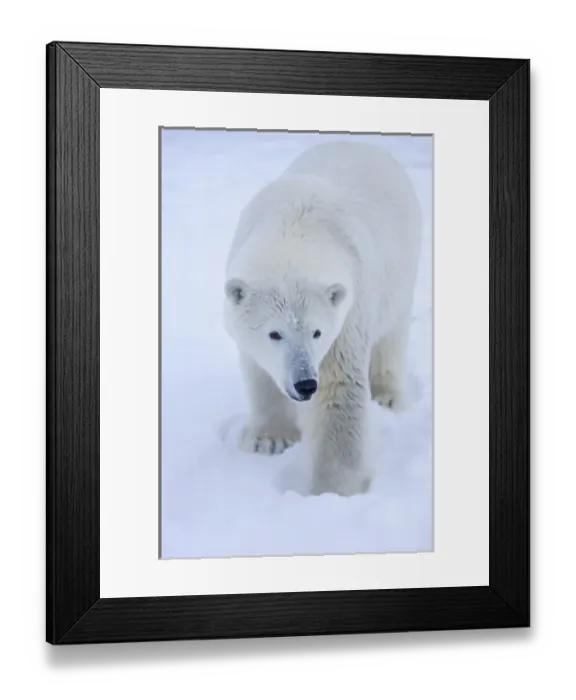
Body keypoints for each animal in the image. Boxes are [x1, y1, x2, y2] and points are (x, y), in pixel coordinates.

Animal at [223, 140, 422, 497]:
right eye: (274, 334)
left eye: (317, 332)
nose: (304, 384)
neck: (294, 228)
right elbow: (260, 373)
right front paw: (269, 439)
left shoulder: (349, 311)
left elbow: (338, 389)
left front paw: (335, 489)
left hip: (403, 266)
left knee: (392, 335)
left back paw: (388, 395)